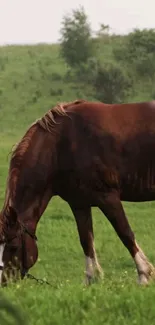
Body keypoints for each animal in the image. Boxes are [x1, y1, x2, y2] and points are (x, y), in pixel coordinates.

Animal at [0, 97, 155, 284]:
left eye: (13, 246)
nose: (3, 281)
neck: (61, 146)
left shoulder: (108, 197)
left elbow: (125, 233)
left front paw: (144, 274)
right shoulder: (79, 203)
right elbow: (86, 240)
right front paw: (91, 279)